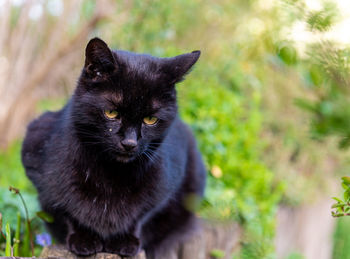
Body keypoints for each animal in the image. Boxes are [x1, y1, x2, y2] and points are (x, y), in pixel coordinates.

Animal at [21, 37, 206, 258]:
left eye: (150, 119)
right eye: (111, 113)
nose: (129, 143)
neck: (111, 173)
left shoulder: (164, 185)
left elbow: (141, 214)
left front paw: (124, 241)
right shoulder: (36, 156)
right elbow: (68, 209)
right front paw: (83, 239)